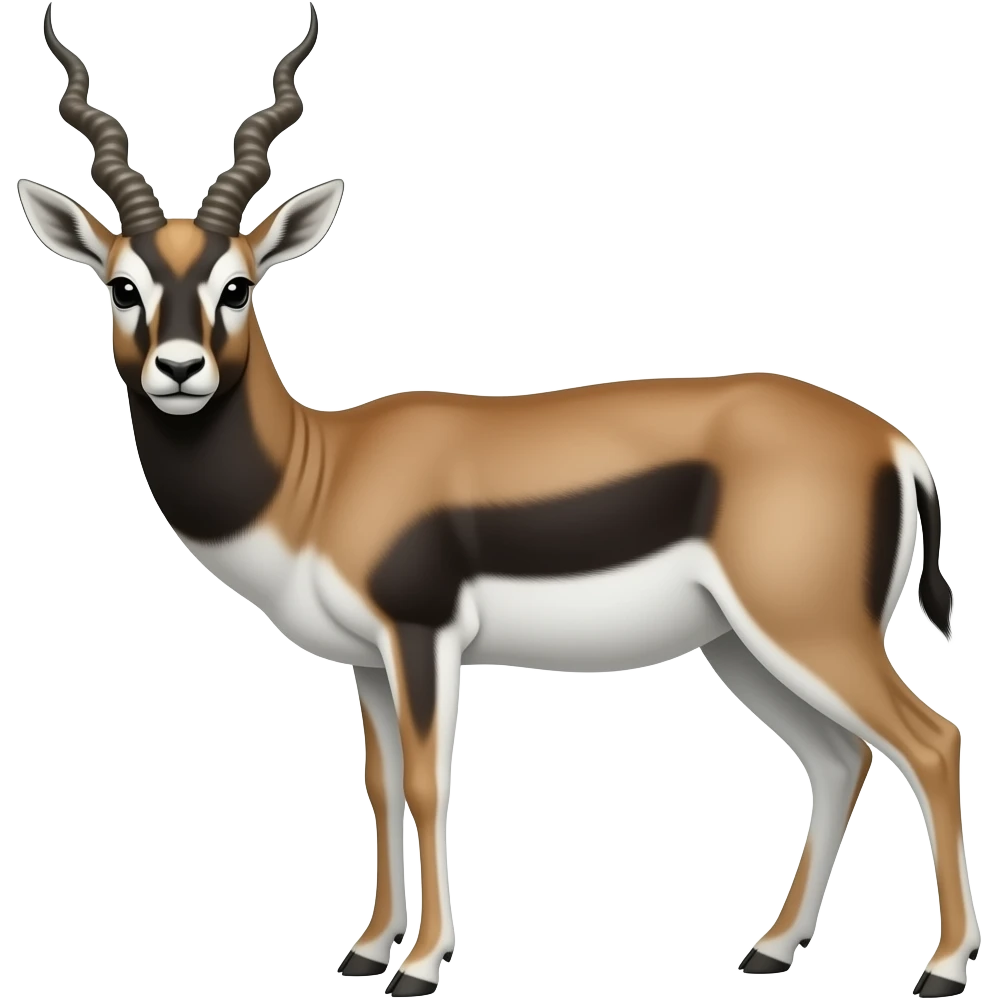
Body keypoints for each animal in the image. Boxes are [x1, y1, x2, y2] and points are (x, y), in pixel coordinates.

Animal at [16, 5, 978, 998]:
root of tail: (895, 445)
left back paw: (941, 967)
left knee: (931, 741)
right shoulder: (366, 661)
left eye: (237, 286)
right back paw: (772, 948)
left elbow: (429, 781)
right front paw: (367, 948)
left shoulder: (421, 634)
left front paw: (421, 964)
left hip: (808, 627)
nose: (179, 371)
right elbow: (379, 783)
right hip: (741, 645)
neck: (322, 474)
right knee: (838, 757)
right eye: (122, 285)